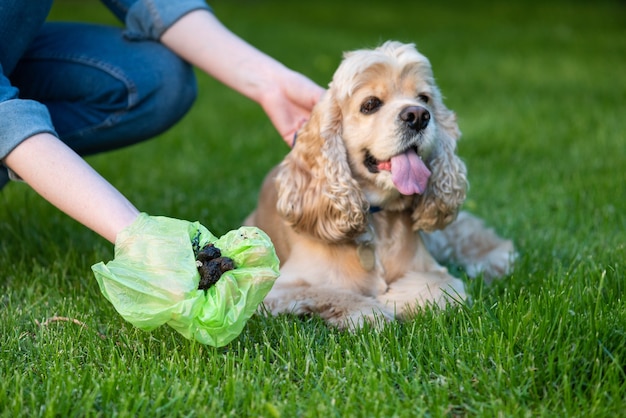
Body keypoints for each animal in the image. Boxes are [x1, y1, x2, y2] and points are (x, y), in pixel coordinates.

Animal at [244, 42, 512, 330]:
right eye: (370, 104)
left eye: (424, 98)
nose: (418, 116)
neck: (379, 220)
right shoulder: (279, 287)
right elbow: (335, 293)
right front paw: (373, 312)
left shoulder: (433, 269)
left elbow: (439, 286)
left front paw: (396, 299)